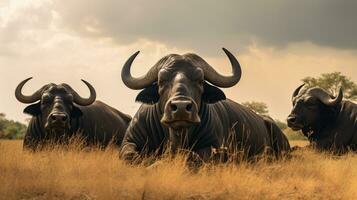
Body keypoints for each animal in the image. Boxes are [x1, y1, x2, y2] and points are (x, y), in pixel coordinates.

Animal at [119, 48, 290, 162]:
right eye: (161, 81)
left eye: (200, 81)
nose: (181, 108)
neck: (176, 135)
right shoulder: (129, 141)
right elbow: (130, 155)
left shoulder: (213, 147)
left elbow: (192, 156)